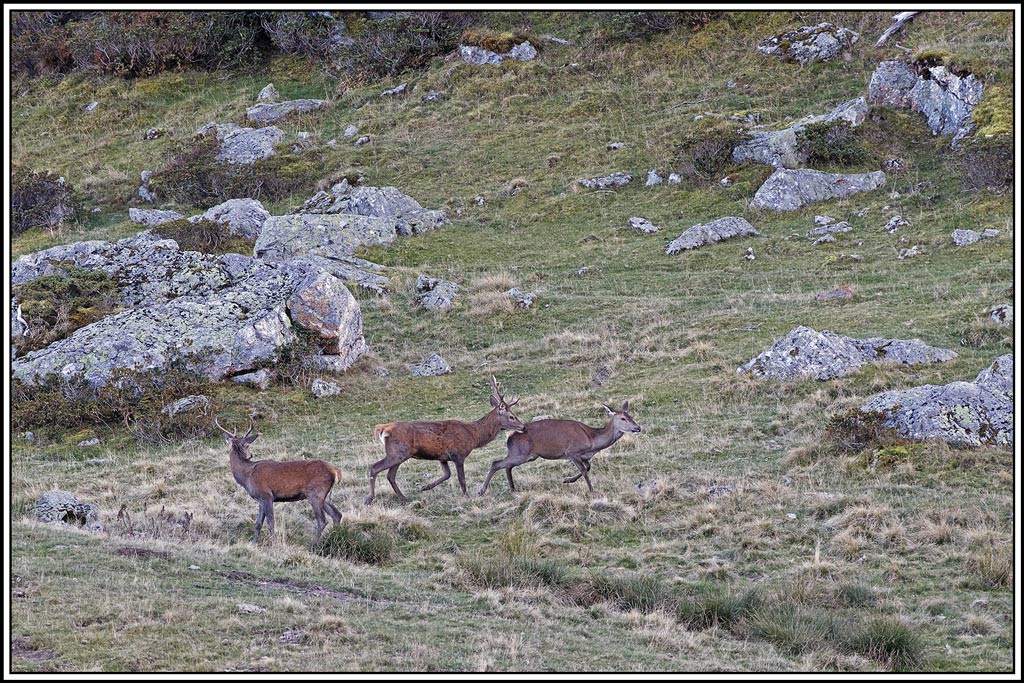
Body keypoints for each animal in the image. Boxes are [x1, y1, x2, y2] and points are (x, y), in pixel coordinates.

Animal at [215, 417, 345, 548]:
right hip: (325, 496)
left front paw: (274, 544)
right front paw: (253, 544)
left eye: (247, 445)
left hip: (315, 493)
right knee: (337, 515)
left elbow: (270, 523)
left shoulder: (267, 495)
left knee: (322, 520)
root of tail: (334, 470)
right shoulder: (260, 500)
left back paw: (312, 545)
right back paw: (334, 538)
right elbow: (258, 523)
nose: (250, 455)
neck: (247, 476)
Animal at [365, 375, 526, 505]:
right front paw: (466, 497)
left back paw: (403, 498)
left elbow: (446, 474)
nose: (523, 426)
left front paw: (425, 487)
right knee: (375, 467)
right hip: (398, 452)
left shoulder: (442, 457)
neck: (473, 436)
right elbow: (462, 480)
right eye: (511, 416)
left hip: (400, 454)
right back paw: (370, 498)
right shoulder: (458, 454)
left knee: (390, 475)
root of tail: (383, 428)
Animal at [478, 401, 641, 495]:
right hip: (521, 453)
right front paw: (591, 490)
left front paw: (568, 480)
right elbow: (584, 470)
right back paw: (481, 491)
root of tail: (510, 437)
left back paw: (513, 489)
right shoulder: (571, 451)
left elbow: (588, 467)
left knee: (507, 466)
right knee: (496, 463)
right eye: (623, 418)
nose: (638, 428)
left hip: (525, 455)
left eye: (631, 416)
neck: (592, 441)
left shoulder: (583, 456)